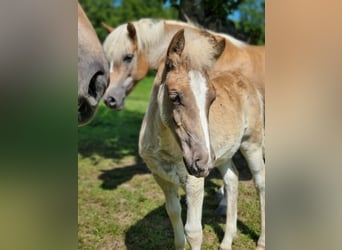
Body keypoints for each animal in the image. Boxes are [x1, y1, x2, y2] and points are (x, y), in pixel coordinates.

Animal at [138, 28, 264, 249]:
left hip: (251, 144)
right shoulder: (162, 178)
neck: (167, 151)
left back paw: (262, 241)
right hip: (223, 154)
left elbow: (194, 232)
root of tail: (250, 85)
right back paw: (227, 241)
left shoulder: (194, 182)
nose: (202, 162)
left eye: (212, 98)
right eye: (174, 97)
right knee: (232, 179)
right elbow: (174, 215)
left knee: (260, 183)